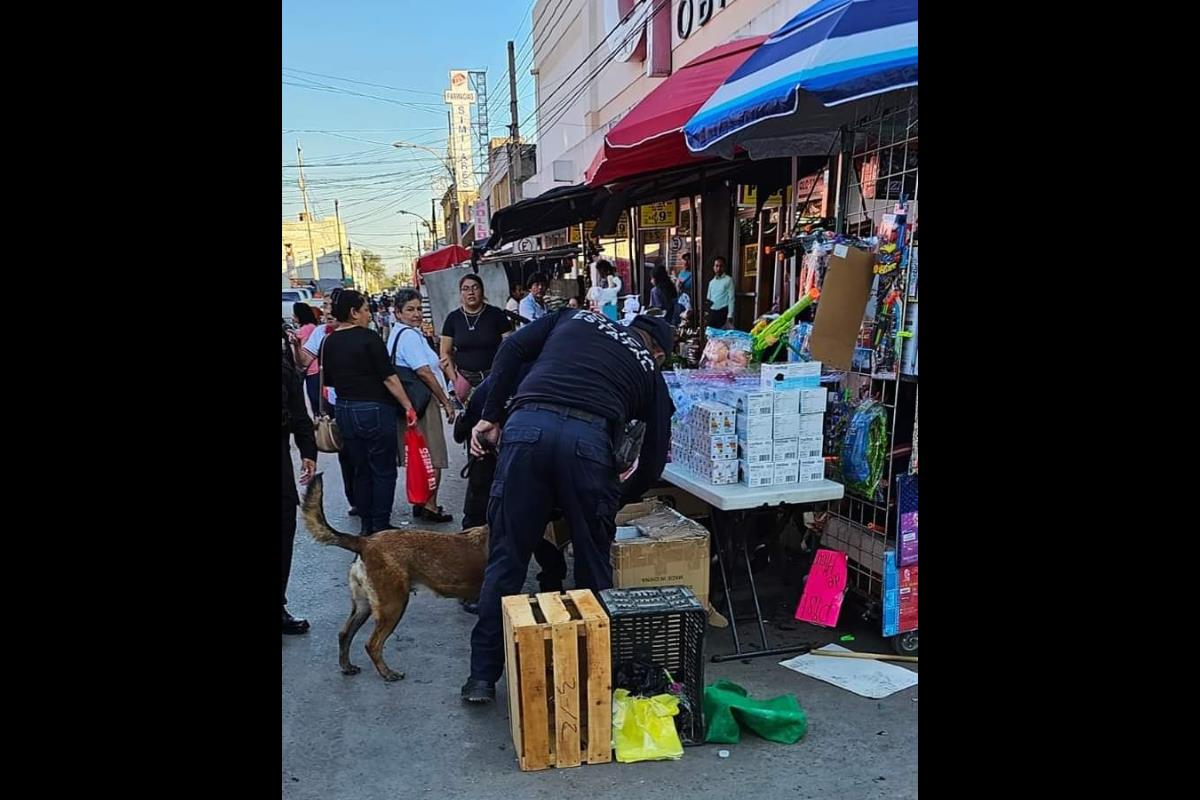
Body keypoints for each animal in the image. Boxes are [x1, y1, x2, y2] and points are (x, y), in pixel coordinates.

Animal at [300, 472, 487, 686]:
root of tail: (365, 542)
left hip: (364, 605)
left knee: (345, 634)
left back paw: (347, 666)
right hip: (394, 605)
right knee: (372, 644)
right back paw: (387, 673)